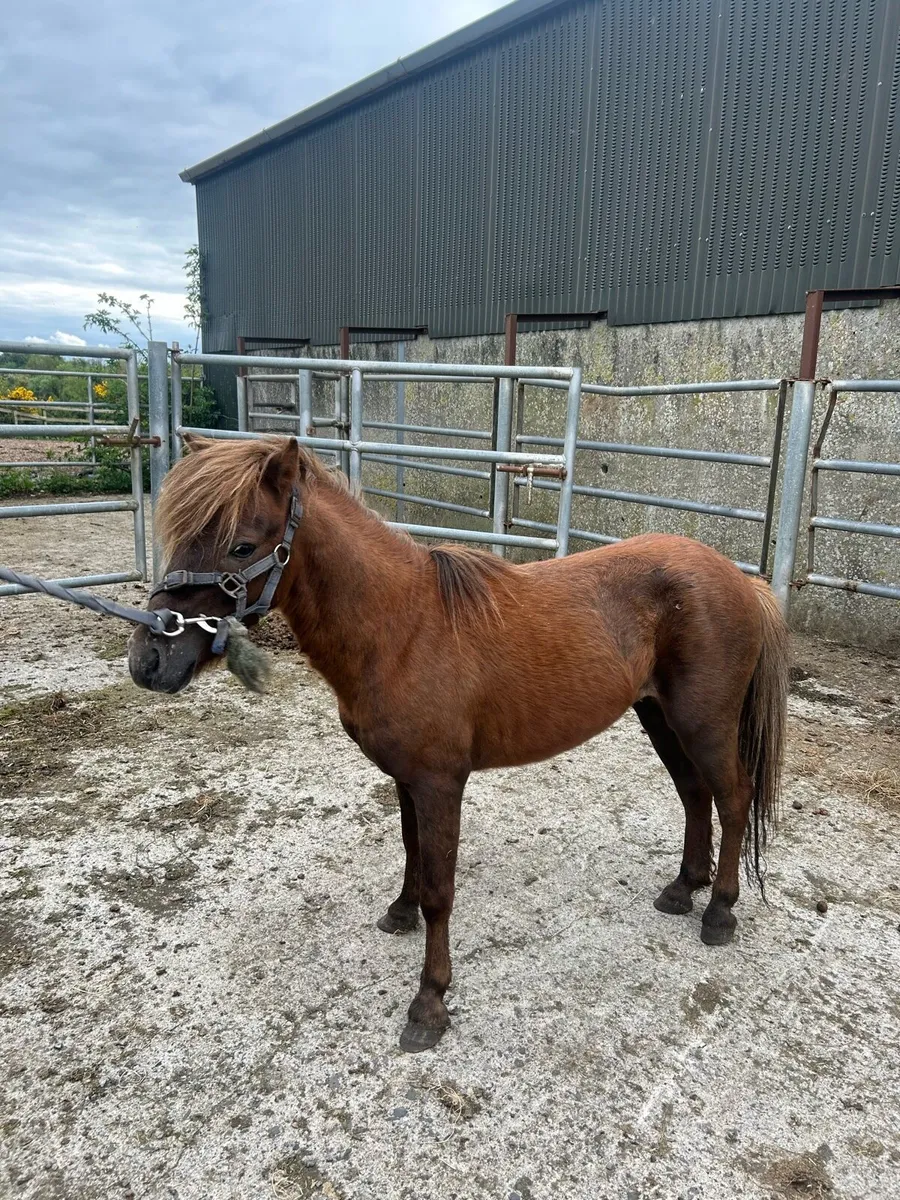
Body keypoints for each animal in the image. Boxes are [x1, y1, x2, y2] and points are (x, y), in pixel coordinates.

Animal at [128, 435, 790, 1053]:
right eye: (180, 537)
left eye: (241, 546)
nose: (150, 660)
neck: (400, 627)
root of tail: (742, 581)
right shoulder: (405, 778)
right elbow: (413, 854)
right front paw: (399, 913)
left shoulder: (440, 783)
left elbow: (440, 891)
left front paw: (429, 1004)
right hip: (659, 717)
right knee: (695, 794)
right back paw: (684, 888)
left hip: (702, 722)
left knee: (732, 798)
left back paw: (720, 911)